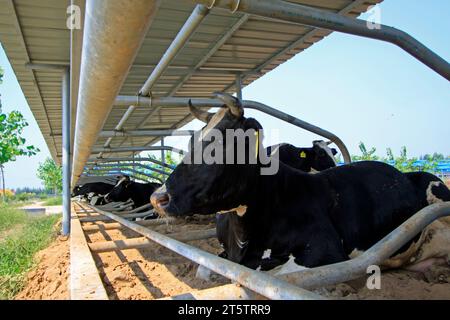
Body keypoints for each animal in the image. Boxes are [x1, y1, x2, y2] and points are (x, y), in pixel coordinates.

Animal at [152, 93, 450, 272]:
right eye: (192, 141)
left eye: (220, 145)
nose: (158, 197)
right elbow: (204, 267)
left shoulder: (326, 252)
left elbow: (282, 271)